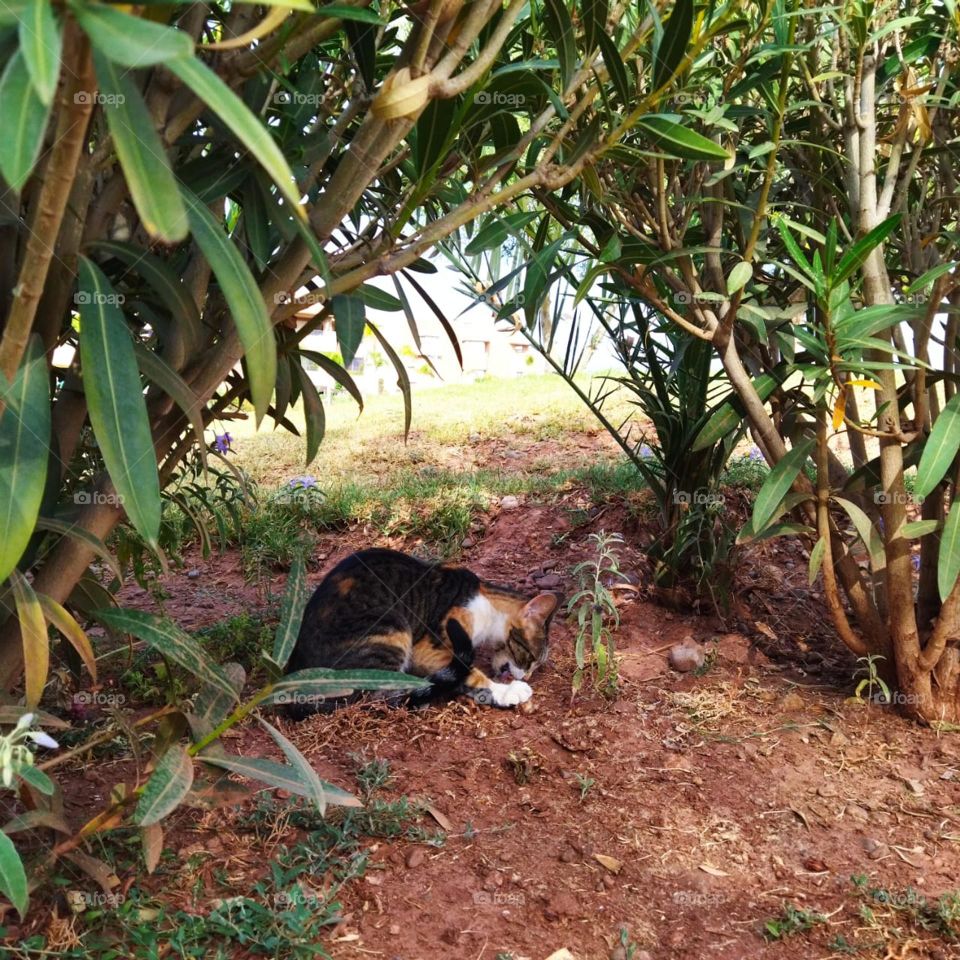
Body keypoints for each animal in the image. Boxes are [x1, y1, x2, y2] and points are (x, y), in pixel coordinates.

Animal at [282, 548, 560, 712]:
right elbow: (472, 673)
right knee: (382, 696)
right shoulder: (433, 647)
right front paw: (508, 691)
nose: (527, 676)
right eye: (530, 657)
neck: (487, 603)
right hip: (390, 627)